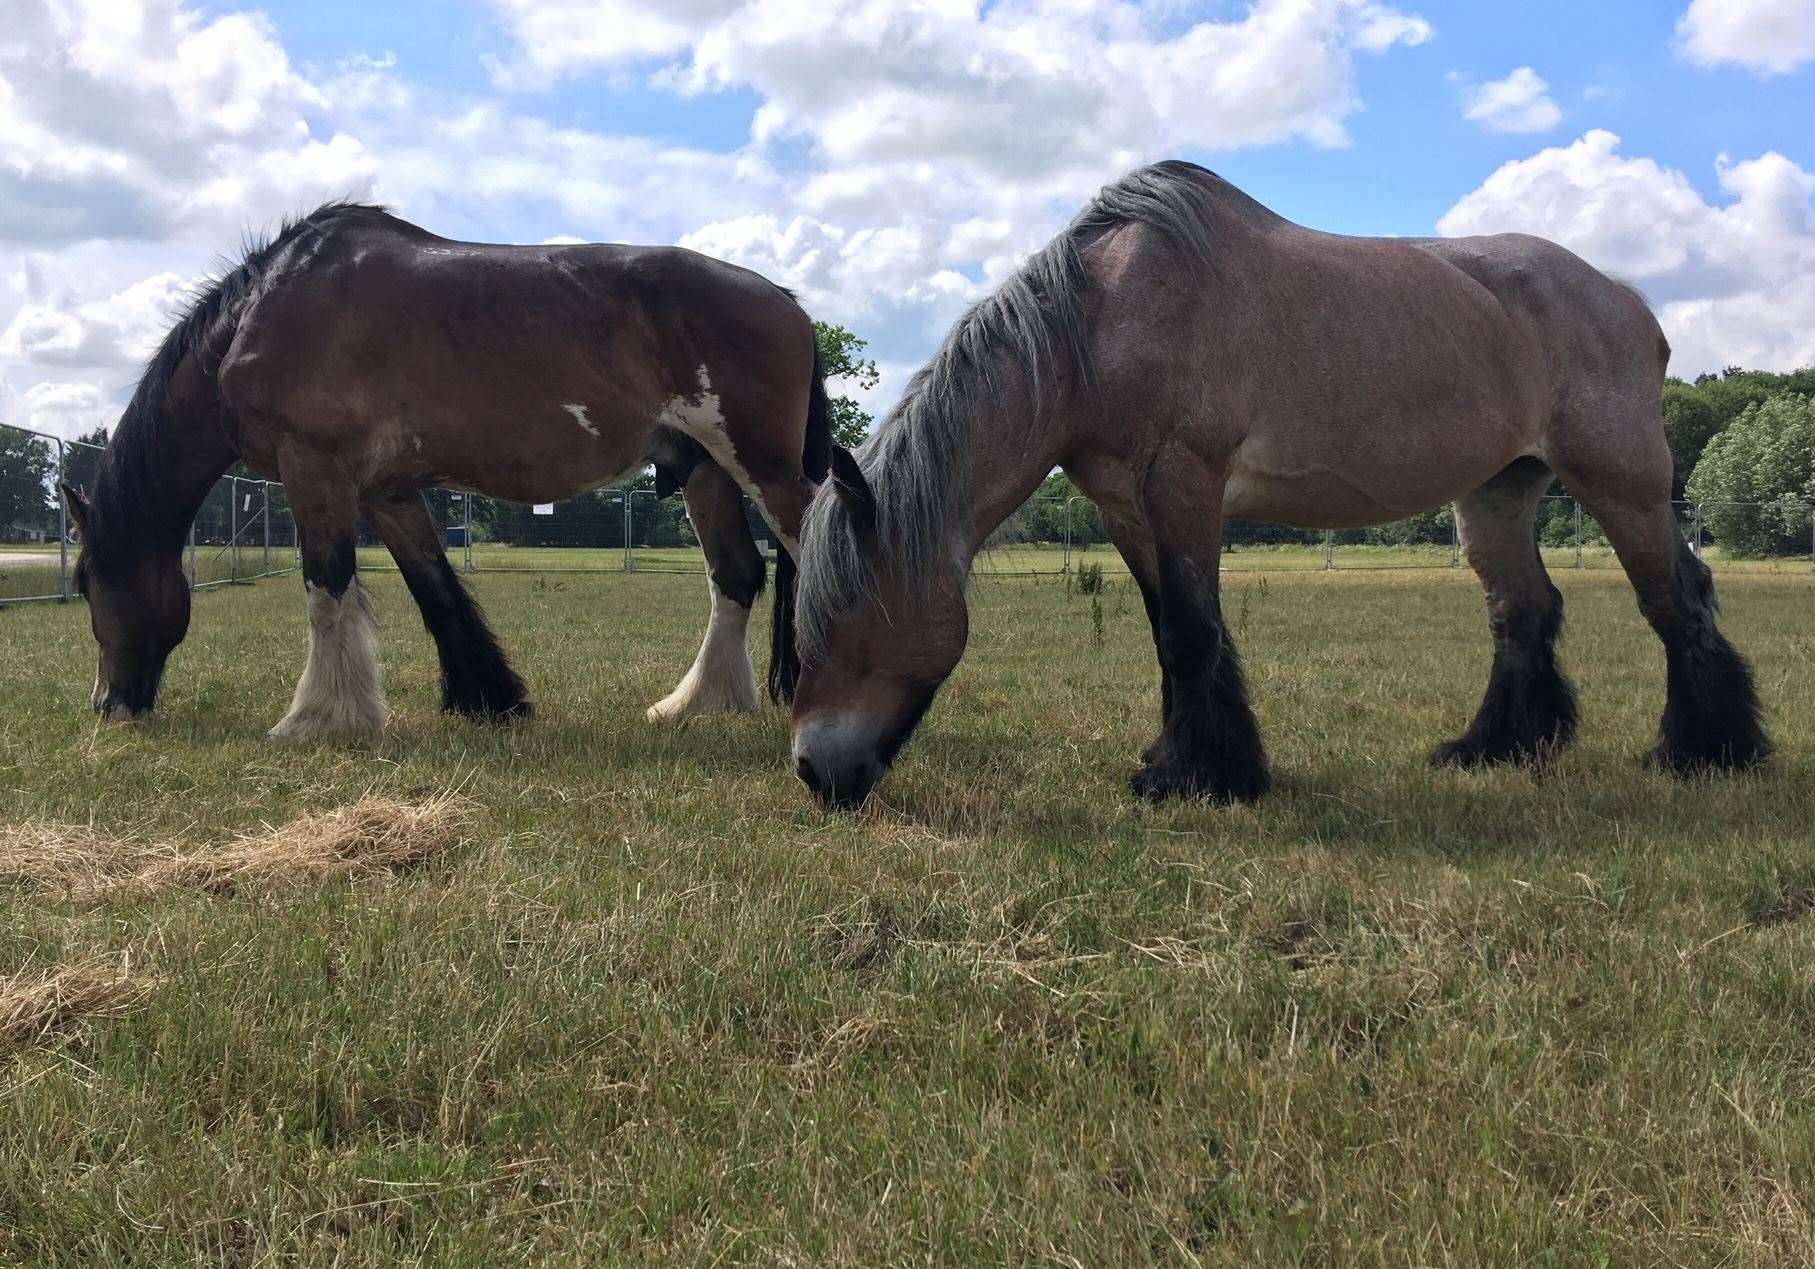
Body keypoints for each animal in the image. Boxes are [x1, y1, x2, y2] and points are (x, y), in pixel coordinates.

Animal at [62, 203, 831, 740]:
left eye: (86, 582)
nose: (108, 703)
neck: (262, 314)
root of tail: (785, 299)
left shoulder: (314, 467)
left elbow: (325, 586)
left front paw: (316, 719)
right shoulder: (385, 489)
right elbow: (432, 585)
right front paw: (487, 697)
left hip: (759, 465)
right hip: (704, 468)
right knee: (736, 575)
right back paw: (694, 704)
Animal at [791, 161, 1756, 813]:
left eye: (844, 610)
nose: (811, 770)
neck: (1097, 324)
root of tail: (1629, 303)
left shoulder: (1183, 483)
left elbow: (1193, 629)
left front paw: (1200, 776)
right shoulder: (1122, 505)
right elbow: (1166, 635)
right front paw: (1174, 758)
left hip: (1622, 484)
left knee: (1676, 598)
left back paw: (1705, 751)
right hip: (1496, 492)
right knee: (1521, 610)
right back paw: (1495, 748)